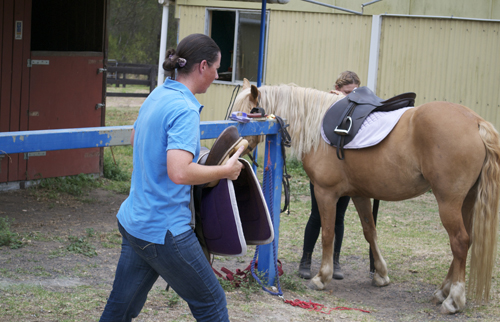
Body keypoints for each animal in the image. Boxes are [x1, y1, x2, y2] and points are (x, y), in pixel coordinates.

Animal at [234, 79, 500, 314]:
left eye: (249, 113)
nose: (235, 145)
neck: (317, 126)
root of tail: (476, 122)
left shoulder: (325, 192)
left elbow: (328, 232)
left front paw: (322, 277)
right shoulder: (359, 194)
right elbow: (369, 231)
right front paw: (381, 274)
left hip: (448, 202)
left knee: (460, 242)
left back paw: (453, 299)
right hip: (466, 202)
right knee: (465, 242)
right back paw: (442, 291)